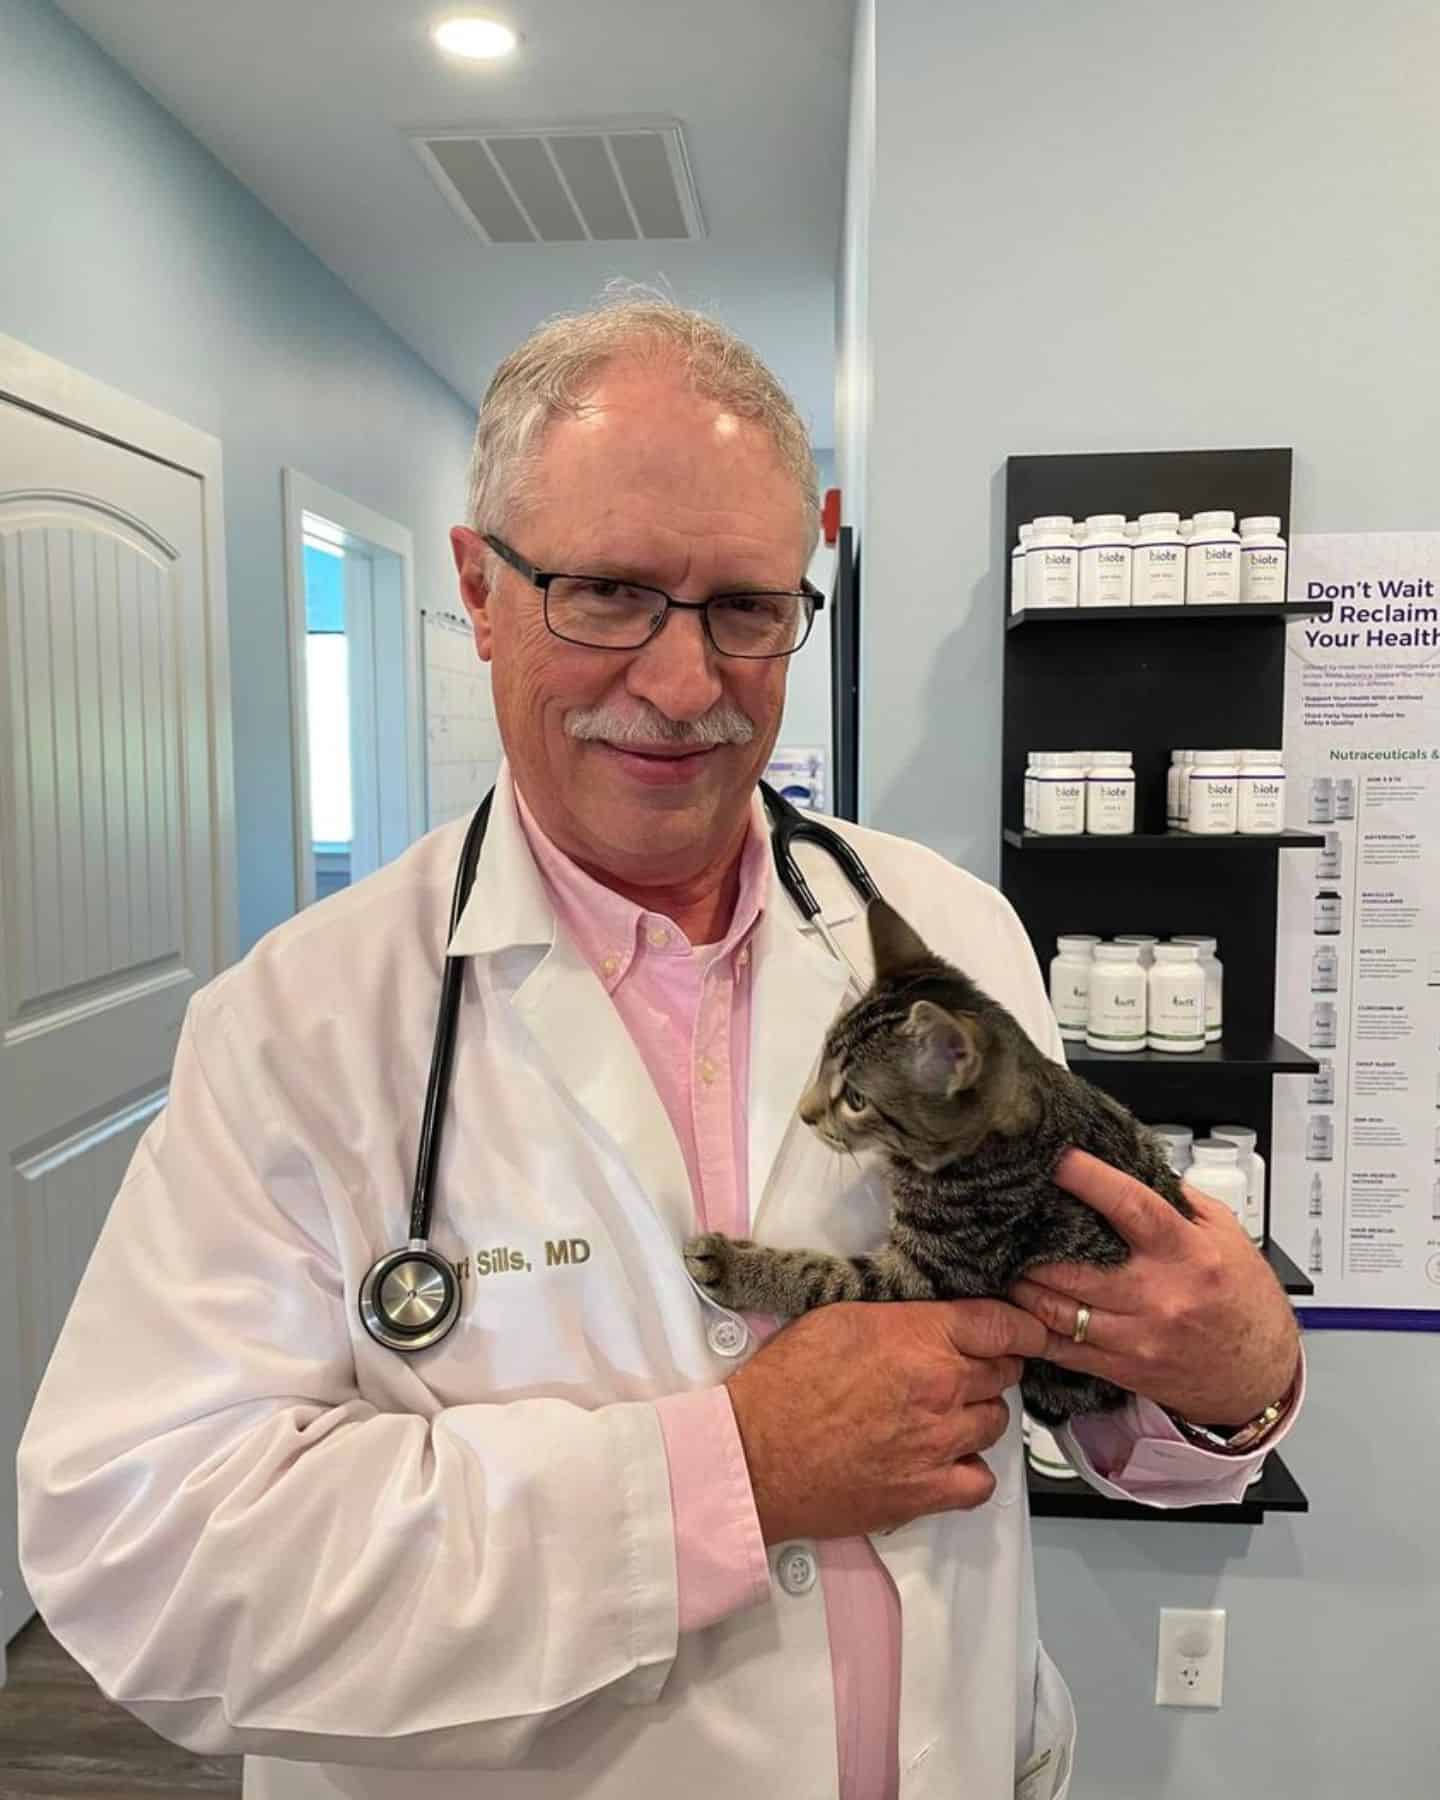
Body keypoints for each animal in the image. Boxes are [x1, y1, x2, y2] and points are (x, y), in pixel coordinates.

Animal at [684, 896, 1195, 1418]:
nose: (805, 1113)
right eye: (823, 1059)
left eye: (856, 1099)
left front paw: (734, 1265)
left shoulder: (934, 1275)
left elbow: (823, 1278)